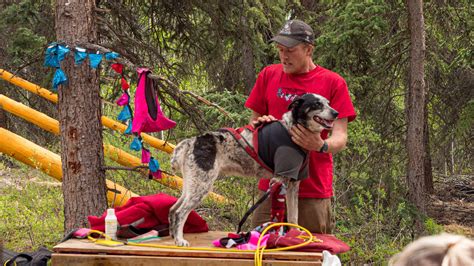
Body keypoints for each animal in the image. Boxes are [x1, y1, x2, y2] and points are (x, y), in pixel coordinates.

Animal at [168, 94, 338, 247]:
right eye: (317, 104)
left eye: (328, 103)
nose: (336, 113)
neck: (291, 129)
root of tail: (191, 141)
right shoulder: (279, 180)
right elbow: (279, 217)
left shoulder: (293, 184)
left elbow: (293, 217)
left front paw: (296, 235)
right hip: (201, 186)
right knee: (180, 212)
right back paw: (180, 240)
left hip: (191, 185)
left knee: (172, 209)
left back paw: (173, 236)